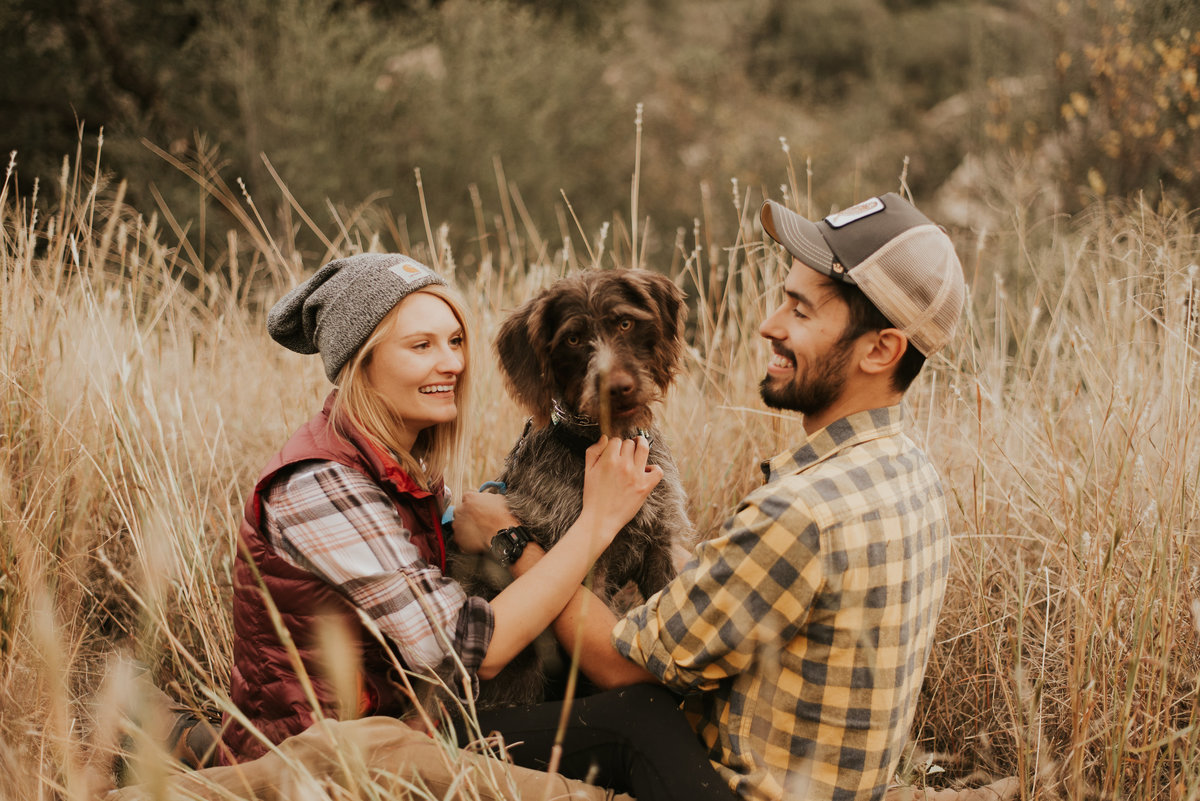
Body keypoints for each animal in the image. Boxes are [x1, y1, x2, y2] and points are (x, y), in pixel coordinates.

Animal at [451, 268, 696, 705]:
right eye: (573, 340)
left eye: (625, 323)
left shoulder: (659, 545)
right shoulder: (587, 572)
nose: (617, 388)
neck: (607, 443)